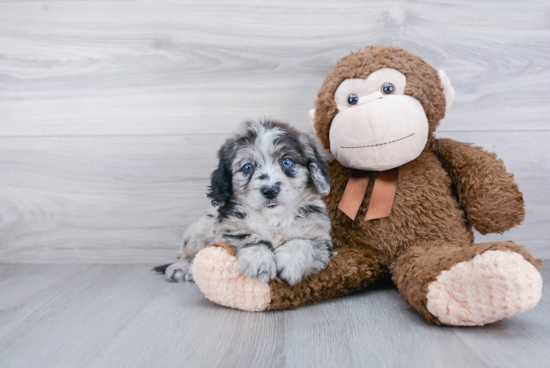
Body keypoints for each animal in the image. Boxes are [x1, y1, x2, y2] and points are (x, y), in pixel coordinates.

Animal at [156, 119, 336, 286]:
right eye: (247, 167)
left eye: (287, 162)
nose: (270, 190)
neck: (274, 218)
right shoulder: (228, 227)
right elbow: (248, 236)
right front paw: (260, 262)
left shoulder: (322, 238)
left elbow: (305, 242)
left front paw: (291, 262)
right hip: (198, 230)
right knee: (189, 254)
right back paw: (182, 268)